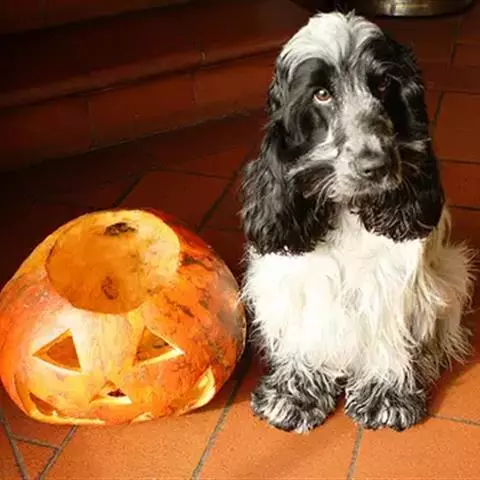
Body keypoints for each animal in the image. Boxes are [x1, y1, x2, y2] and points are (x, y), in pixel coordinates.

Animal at [240, 11, 475, 434]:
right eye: (321, 94)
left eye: (383, 84)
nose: (376, 166)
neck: (348, 210)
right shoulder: (295, 277)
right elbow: (305, 332)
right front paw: (295, 394)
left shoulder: (392, 280)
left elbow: (388, 333)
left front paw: (387, 395)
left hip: (454, 271)